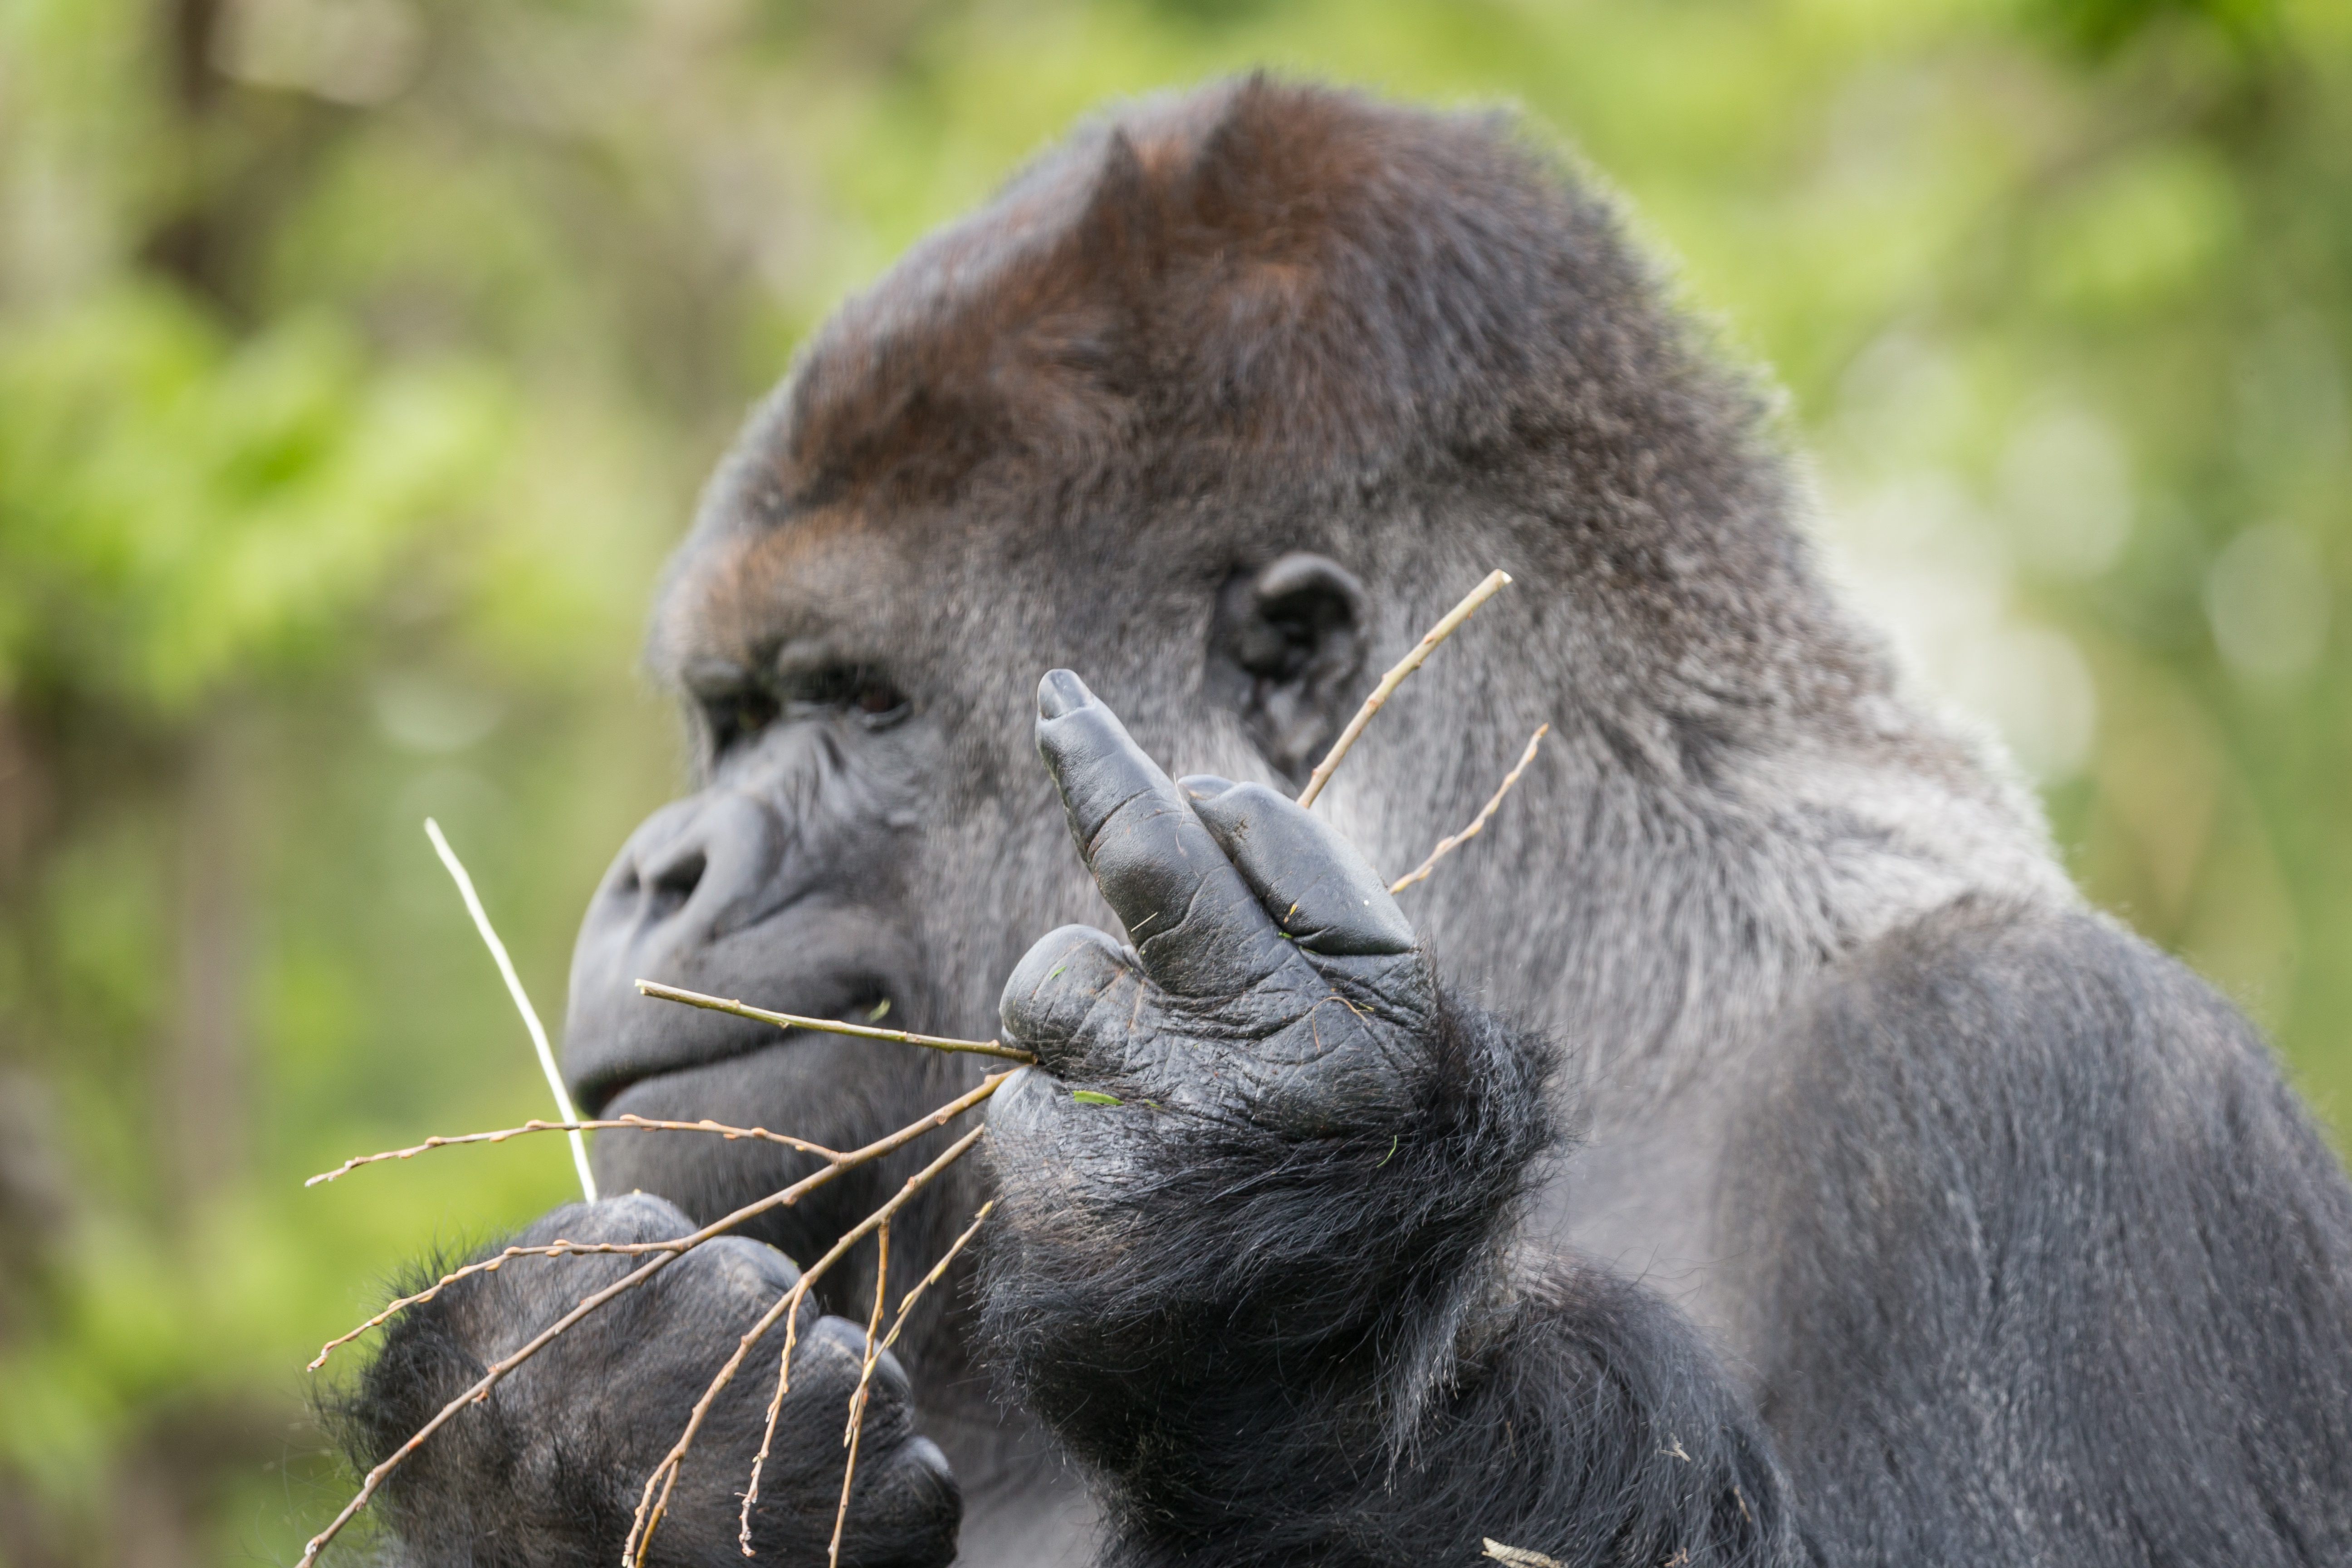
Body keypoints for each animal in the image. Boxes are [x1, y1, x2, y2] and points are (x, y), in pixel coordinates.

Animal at [343, 80, 2352, 1568]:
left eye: (854, 704)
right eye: (729, 719)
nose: (658, 870)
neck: (1605, 970)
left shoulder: (2056, 1072)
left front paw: (1273, 1264)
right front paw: (555, 1432)